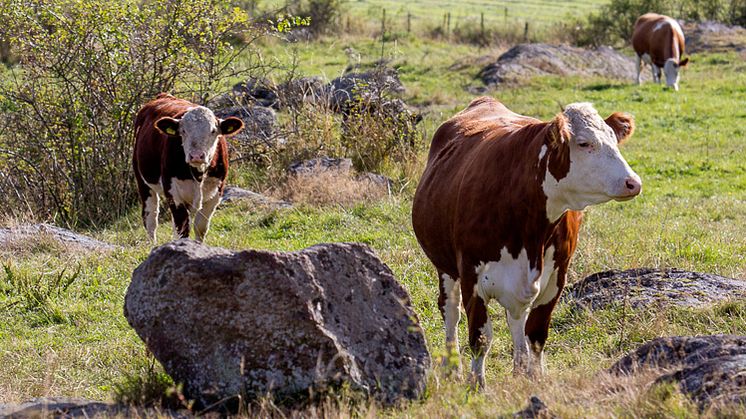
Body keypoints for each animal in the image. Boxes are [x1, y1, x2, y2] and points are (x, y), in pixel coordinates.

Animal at [131, 92, 241, 243]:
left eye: (213, 131)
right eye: (183, 131)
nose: (196, 156)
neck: (198, 174)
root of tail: (164, 96)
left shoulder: (216, 193)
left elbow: (200, 227)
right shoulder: (173, 193)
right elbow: (182, 229)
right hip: (142, 180)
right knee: (150, 217)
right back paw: (152, 243)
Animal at [406, 97, 640, 388]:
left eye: (612, 137)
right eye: (584, 143)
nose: (633, 182)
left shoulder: (556, 278)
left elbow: (536, 333)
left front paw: (534, 378)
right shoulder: (472, 275)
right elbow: (480, 337)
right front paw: (477, 384)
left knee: (516, 319)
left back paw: (519, 368)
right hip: (445, 266)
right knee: (450, 310)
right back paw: (453, 369)